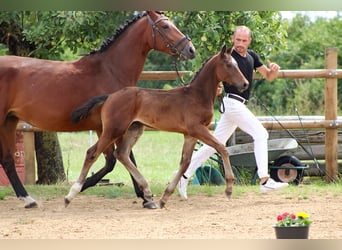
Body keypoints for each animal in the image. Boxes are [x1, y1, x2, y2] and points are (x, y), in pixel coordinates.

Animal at [0, 10, 195, 208]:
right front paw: (145, 196)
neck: (110, 70)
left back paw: (28, 199)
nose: (191, 49)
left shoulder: (110, 127)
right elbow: (119, 158)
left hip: (9, 121)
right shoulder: (112, 126)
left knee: (7, 160)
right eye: (165, 26)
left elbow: (115, 160)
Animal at [66, 45, 248, 209]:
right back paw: (70, 195)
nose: (245, 84)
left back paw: (147, 193)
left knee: (121, 154)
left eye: (237, 64)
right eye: (229, 65)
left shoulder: (190, 135)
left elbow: (185, 162)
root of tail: (109, 97)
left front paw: (164, 198)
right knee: (92, 153)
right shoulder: (197, 129)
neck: (197, 95)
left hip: (134, 129)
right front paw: (229, 188)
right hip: (113, 130)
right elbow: (221, 148)